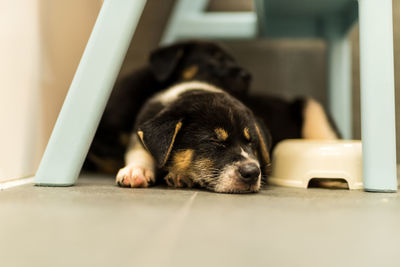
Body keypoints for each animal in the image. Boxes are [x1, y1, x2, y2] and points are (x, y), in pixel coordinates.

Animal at [115, 80, 272, 194]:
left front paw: (179, 175)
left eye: (251, 143)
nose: (253, 173)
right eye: (213, 141)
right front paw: (136, 171)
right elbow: (139, 150)